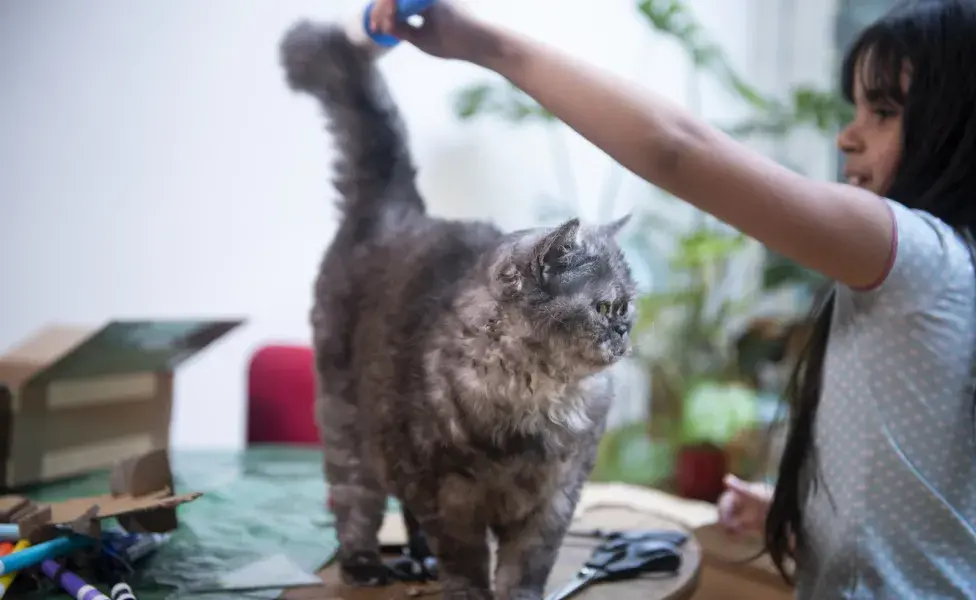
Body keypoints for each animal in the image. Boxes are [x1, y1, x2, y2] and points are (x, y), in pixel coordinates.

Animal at [278, 17, 636, 600]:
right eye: (606, 306)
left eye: (629, 305)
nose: (626, 330)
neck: (536, 401)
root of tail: (396, 210)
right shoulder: (447, 494)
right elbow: (466, 565)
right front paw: (464, 589)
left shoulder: (554, 500)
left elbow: (525, 570)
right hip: (348, 425)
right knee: (356, 505)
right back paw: (366, 564)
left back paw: (419, 562)